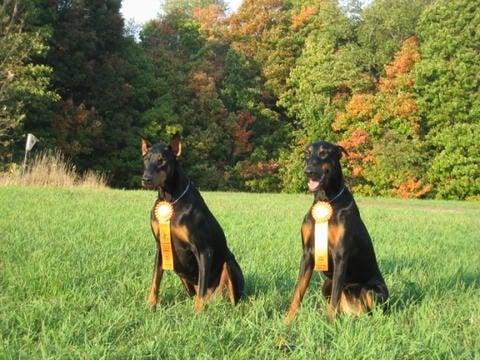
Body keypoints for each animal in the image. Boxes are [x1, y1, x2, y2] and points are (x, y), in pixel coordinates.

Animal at [140, 134, 244, 310]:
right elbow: (155, 280)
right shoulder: (161, 247)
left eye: (162, 160)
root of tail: (214, 298)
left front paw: (197, 312)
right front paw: (150, 305)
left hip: (229, 264)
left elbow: (202, 286)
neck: (170, 199)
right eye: (146, 159)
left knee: (231, 298)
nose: (145, 179)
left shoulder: (203, 250)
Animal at [286, 141, 388, 320]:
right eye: (307, 153)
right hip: (327, 283)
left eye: (323, 153)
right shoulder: (307, 255)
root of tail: (354, 312)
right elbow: (298, 293)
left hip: (373, 290)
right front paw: (286, 321)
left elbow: (334, 299)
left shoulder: (340, 255)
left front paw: (329, 324)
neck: (326, 200)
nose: (308, 171)